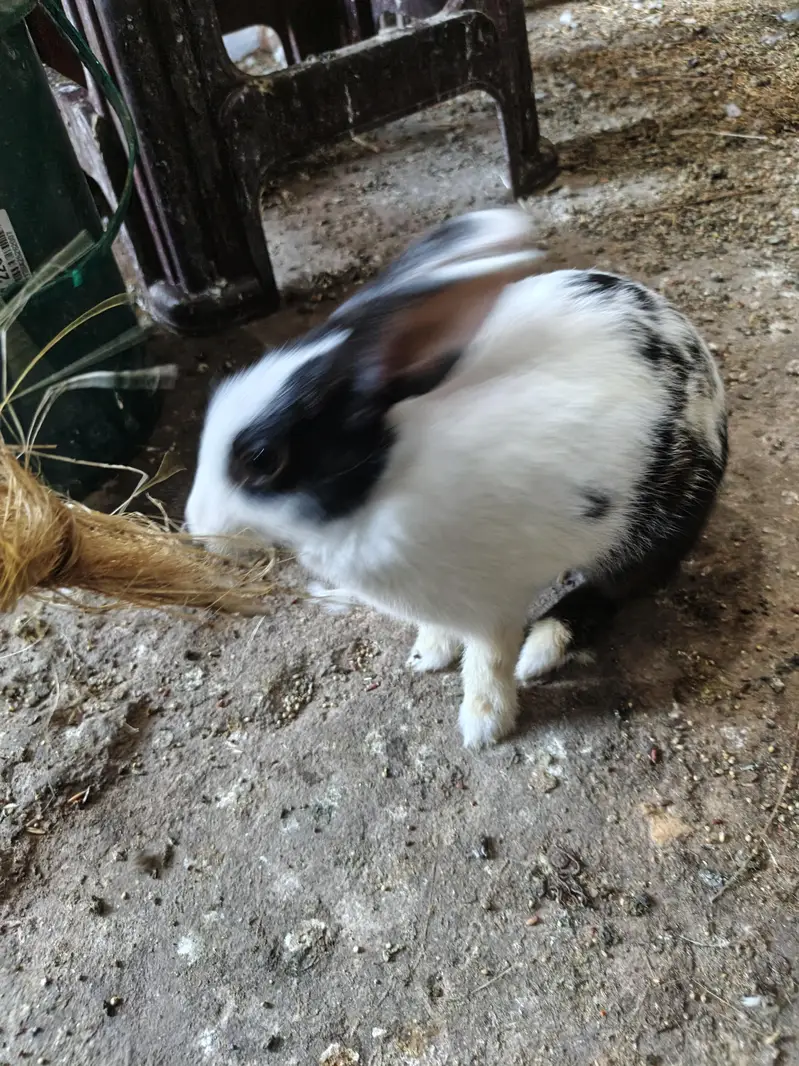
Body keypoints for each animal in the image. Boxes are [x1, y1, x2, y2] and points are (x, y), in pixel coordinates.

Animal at [186, 207, 728, 749]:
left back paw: (542, 650)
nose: (196, 528)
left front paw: (484, 725)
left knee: (613, 591)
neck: (384, 483)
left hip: (653, 527)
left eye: (262, 459)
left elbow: (487, 660)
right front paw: (428, 655)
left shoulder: (491, 606)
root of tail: (704, 368)